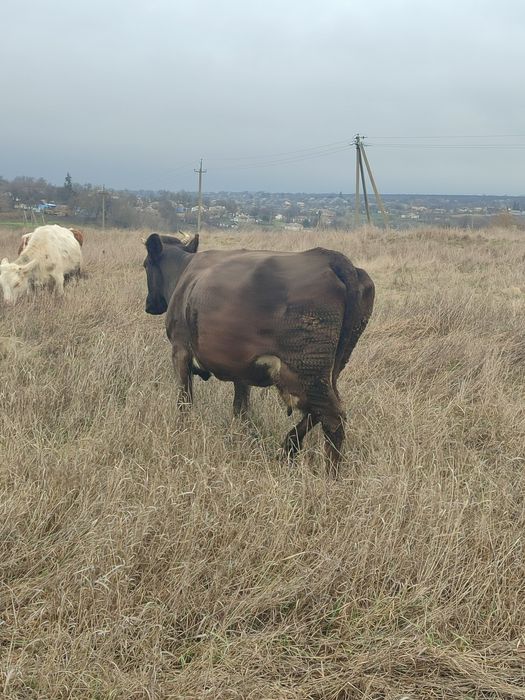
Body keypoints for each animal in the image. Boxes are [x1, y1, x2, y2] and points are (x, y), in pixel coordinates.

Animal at [143, 232, 374, 475]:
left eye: (145, 264)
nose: (150, 305)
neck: (185, 274)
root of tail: (331, 258)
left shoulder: (180, 351)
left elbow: (184, 401)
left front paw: (182, 432)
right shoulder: (239, 367)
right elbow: (241, 407)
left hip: (306, 369)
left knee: (332, 417)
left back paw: (330, 474)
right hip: (324, 371)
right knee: (320, 411)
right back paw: (288, 448)